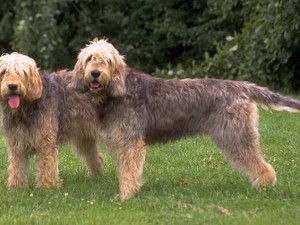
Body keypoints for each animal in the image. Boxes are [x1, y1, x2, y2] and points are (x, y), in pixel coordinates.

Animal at [0, 52, 103, 190]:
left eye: (22, 72)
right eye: (4, 72)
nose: (12, 86)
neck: (24, 109)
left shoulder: (46, 142)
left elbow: (46, 167)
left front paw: (46, 188)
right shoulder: (17, 145)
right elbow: (17, 168)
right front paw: (15, 187)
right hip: (84, 138)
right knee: (96, 157)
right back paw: (95, 177)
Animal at [72, 38, 300, 200]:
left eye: (107, 60)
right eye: (90, 58)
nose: (95, 73)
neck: (116, 92)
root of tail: (242, 86)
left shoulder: (131, 143)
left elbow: (129, 170)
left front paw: (126, 196)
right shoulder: (121, 142)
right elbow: (126, 169)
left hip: (236, 136)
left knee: (261, 164)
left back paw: (264, 186)